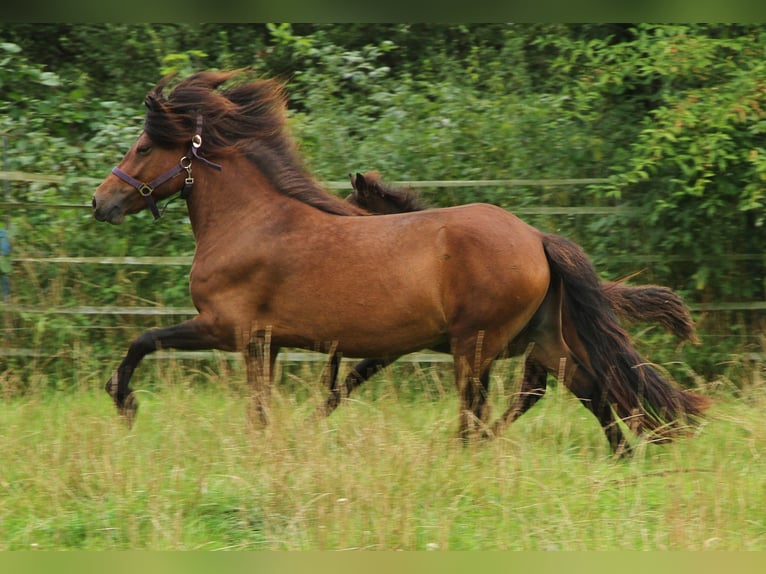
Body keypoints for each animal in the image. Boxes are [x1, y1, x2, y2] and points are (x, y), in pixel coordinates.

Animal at [91, 71, 712, 460]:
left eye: (143, 147)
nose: (101, 203)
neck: (252, 220)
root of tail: (536, 237)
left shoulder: (227, 328)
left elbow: (143, 342)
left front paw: (125, 403)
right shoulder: (266, 344)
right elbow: (271, 405)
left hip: (477, 345)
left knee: (484, 409)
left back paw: (464, 458)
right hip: (541, 338)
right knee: (589, 388)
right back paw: (622, 458)